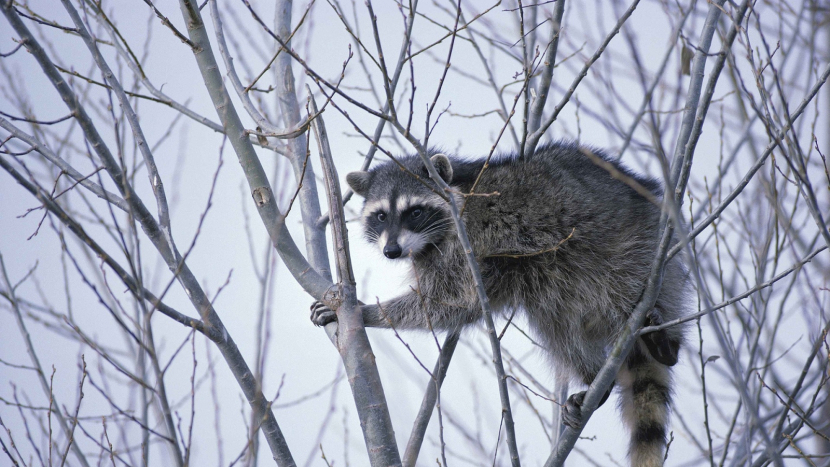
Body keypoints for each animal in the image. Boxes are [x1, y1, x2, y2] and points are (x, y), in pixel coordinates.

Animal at [312, 144, 688, 467]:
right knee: (555, 323)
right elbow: (457, 305)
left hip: (637, 249)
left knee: (622, 284)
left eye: (414, 211)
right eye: (379, 216)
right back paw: (595, 377)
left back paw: (666, 343)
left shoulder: (469, 242)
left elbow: (450, 299)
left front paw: (368, 312)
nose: (391, 251)